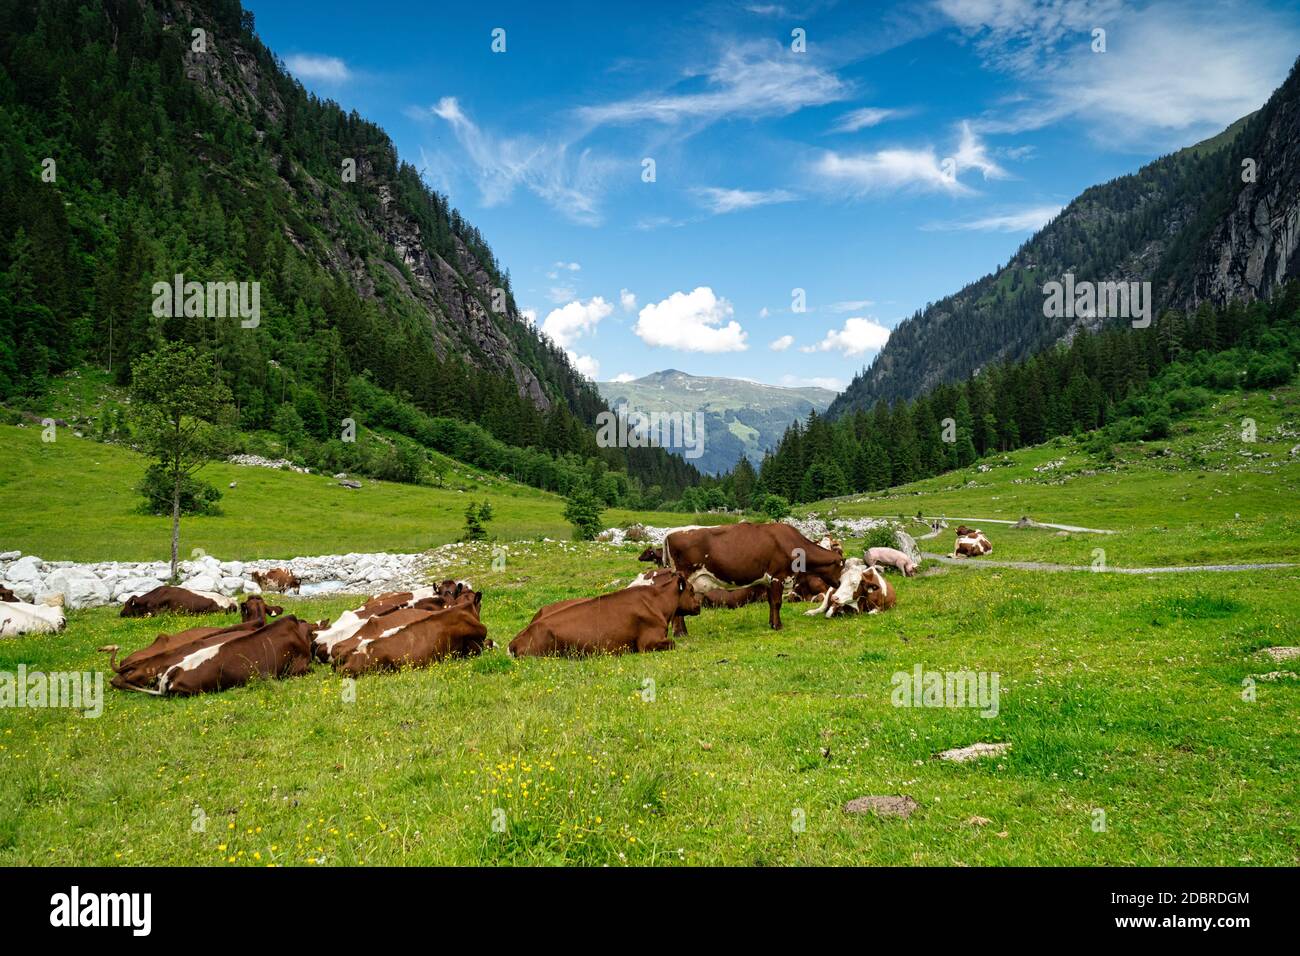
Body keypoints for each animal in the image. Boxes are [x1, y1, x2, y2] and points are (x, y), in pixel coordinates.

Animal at [509, 567, 702, 658]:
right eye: (692, 589)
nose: (699, 605)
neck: (658, 602)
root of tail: (515, 641)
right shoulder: (647, 642)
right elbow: (673, 643)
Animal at [660, 520, 842, 632]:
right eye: (841, 565)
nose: (839, 584)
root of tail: (671, 532)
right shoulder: (778, 576)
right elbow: (777, 603)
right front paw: (778, 626)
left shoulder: (768, 580)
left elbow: (771, 603)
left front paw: (771, 624)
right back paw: (681, 633)